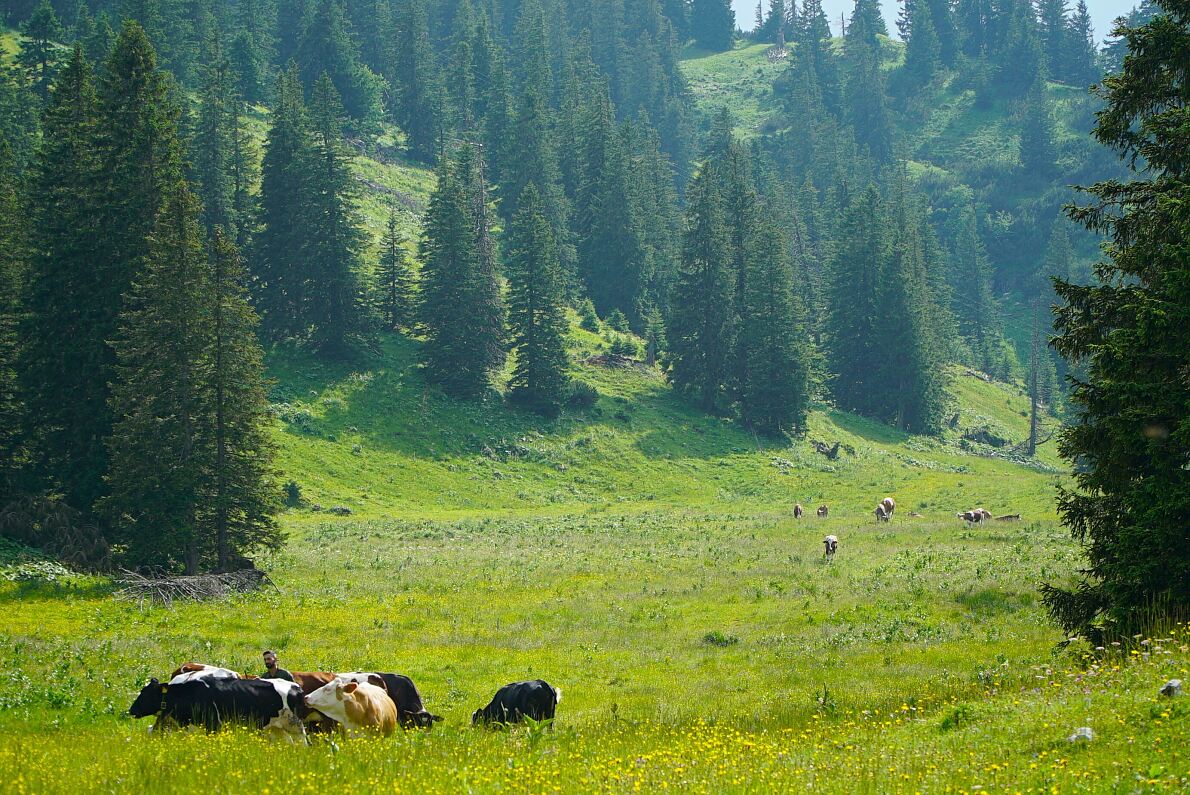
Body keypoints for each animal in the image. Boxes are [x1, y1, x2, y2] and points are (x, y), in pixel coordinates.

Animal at [127, 675, 309, 742]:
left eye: (146, 693)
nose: (131, 710)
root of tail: (296, 686)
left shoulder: (213, 726)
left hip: (295, 725)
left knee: (302, 742)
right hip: (276, 727)